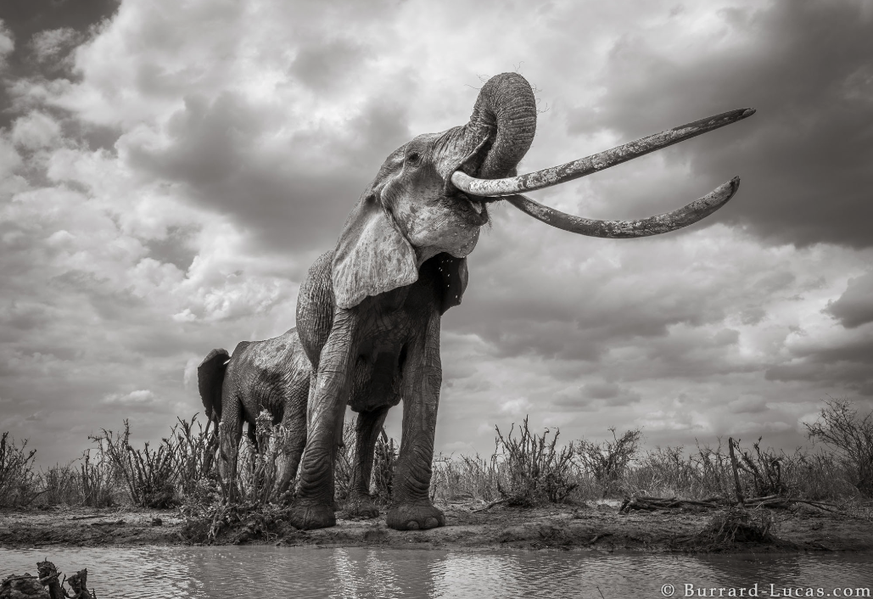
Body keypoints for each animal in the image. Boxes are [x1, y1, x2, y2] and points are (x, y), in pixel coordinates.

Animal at [286, 72, 748, 532]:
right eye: (415, 158)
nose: (746, 112)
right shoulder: (347, 295)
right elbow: (335, 372)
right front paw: (309, 523)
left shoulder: (430, 297)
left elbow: (425, 376)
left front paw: (417, 523)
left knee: (372, 417)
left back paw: (360, 510)